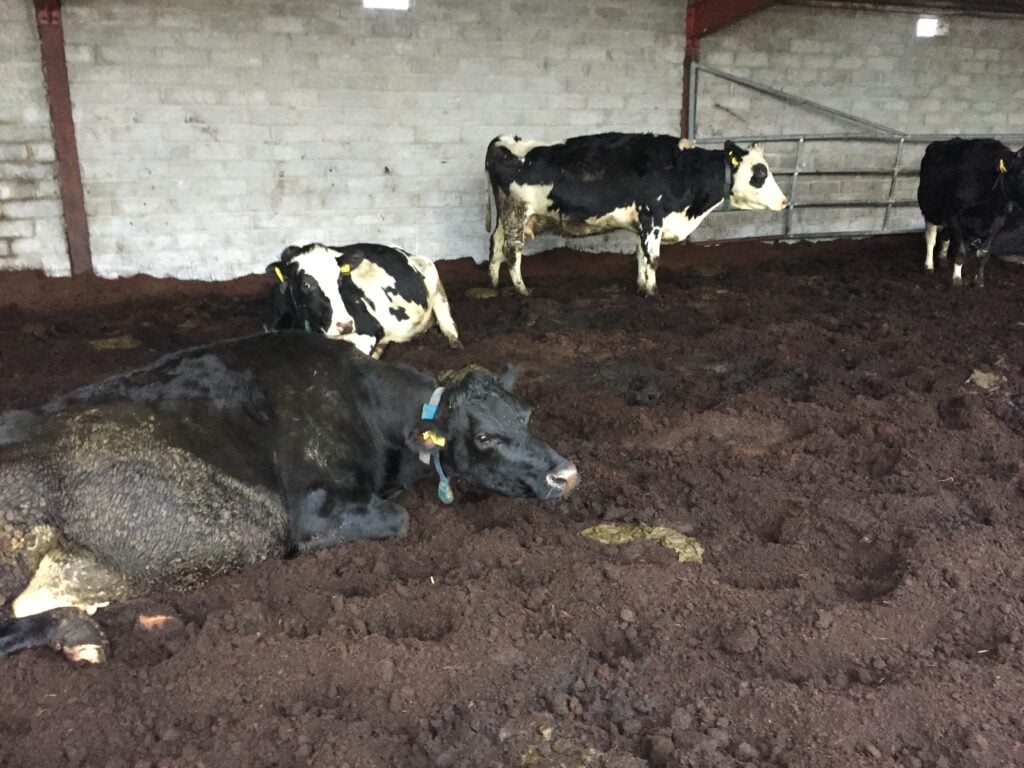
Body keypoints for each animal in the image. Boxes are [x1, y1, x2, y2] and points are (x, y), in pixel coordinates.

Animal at [0, 332, 578, 663]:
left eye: (526, 415)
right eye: (485, 437)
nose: (567, 474)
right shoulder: (314, 513)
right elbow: (400, 519)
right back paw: (81, 634)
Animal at [269, 243, 461, 357]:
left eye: (340, 279)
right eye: (306, 284)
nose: (345, 325)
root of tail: (402, 251)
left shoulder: (368, 331)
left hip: (432, 273)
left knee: (445, 317)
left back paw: (454, 341)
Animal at [485, 132, 789, 296]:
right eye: (759, 174)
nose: (785, 202)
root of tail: (503, 141)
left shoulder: (643, 223)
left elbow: (641, 256)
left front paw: (642, 286)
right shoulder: (652, 216)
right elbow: (653, 259)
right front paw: (653, 292)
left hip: (505, 216)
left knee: (496, 244)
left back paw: (494, 283)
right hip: (517, 213)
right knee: (513, 251)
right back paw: (522, 291)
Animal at [917, 137, 1024, 286]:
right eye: (1022, 172)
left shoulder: (998, 222)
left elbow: (984, 254)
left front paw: (979, 280)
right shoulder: (954, 217)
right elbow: (961, 252)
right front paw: (957, 279)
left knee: (945, 236)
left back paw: (942, 258)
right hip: (930, 209)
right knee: (931, 238)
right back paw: (929, 266)